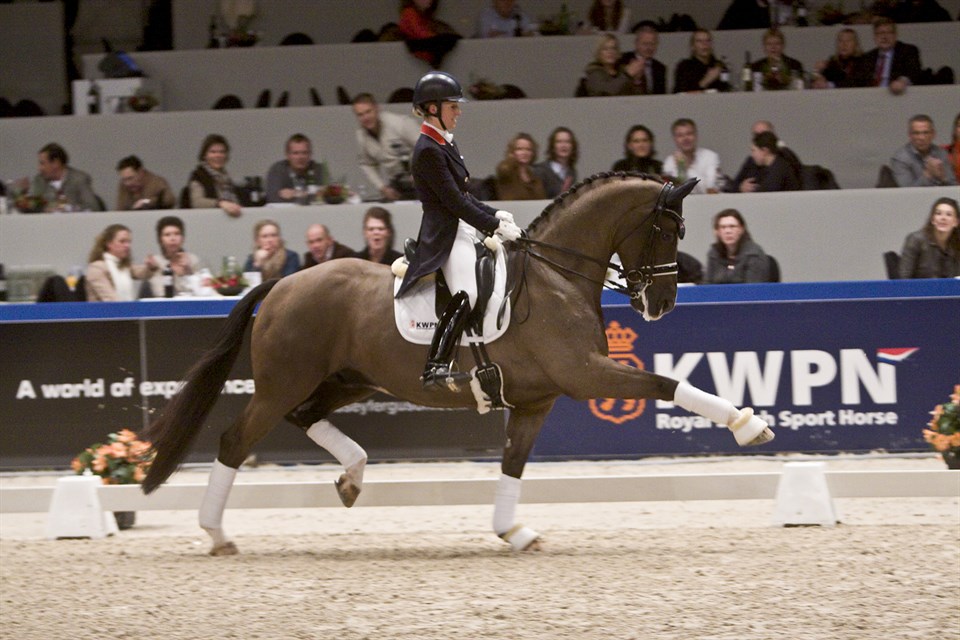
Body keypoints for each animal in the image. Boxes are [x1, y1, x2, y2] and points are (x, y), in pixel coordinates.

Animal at [142, 172, 773, 555]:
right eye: (669, 229)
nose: (660, 304)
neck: (557, 277)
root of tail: (280, 283)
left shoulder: (536, 399)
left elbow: (514, 464)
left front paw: (513, 531)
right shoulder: (587, 373)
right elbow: (668, 381)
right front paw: (749, 425)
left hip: (348, 380)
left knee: (306, 417)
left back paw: (352, 477)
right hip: (282, 382)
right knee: (234, 440)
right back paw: (217, 534)